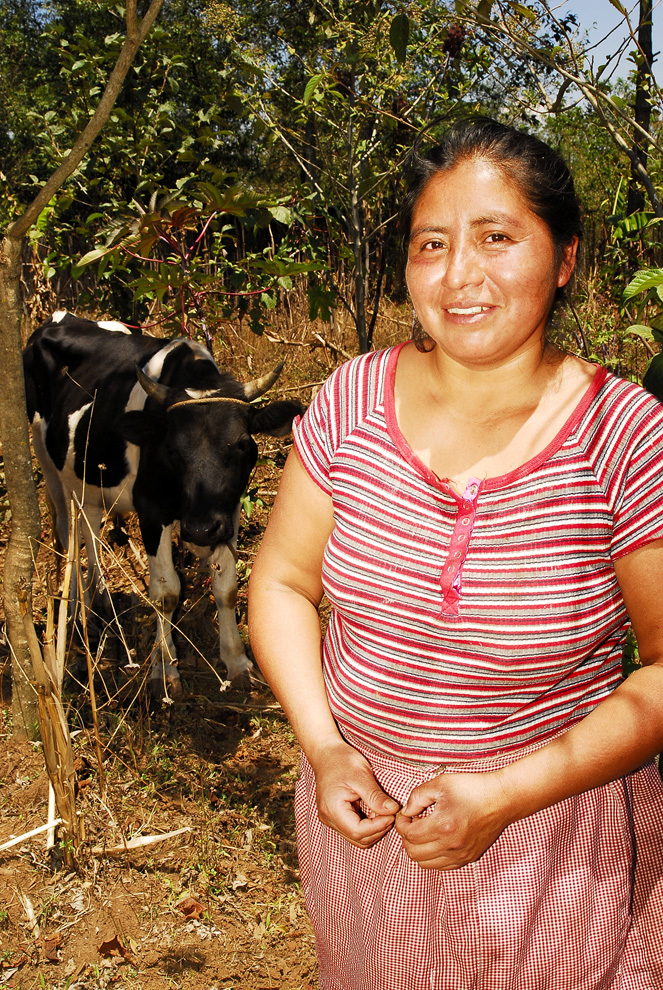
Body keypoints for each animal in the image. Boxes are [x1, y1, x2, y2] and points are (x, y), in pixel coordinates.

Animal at [23, 314, 304, 700]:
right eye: (171, 449)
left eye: (242, 444)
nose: (199, 529)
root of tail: (57, 318)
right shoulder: (152, 509)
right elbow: (166, 591)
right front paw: (164, 668)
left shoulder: (227, 511)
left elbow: (227, 587)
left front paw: (238, 662)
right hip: (47, 462)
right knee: (67, 536)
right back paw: (78, 611)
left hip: (88, 477)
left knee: (91, 528)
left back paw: (100, 603)